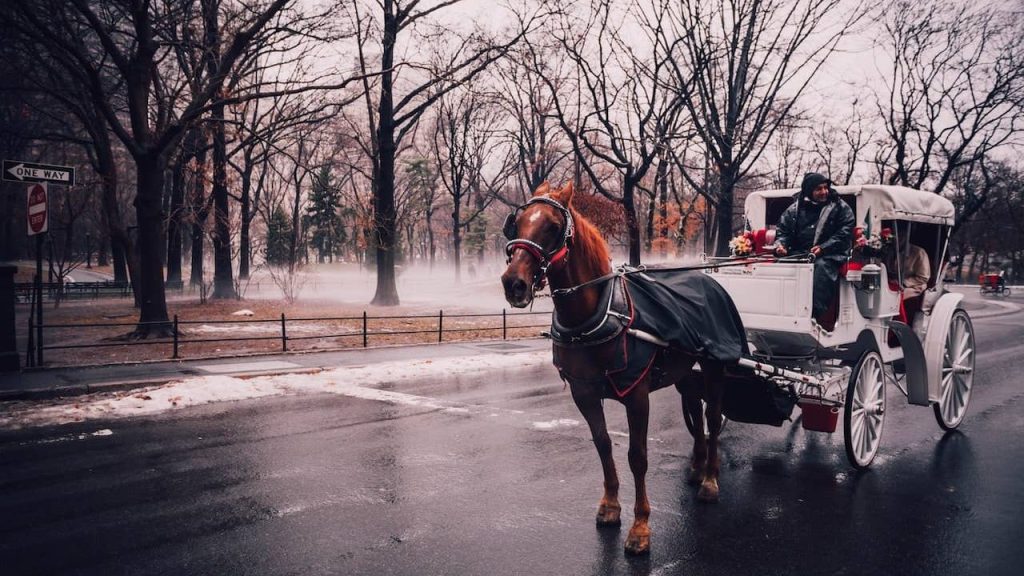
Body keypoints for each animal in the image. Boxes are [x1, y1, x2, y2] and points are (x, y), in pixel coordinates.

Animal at [499, 181, 733, 553]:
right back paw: (697, 467)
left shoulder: (637, 395)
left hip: (713, 365)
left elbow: (638, 456)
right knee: (694, 407)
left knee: (711, 416)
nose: (513, 283)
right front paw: (610, 506)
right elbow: (603, 444)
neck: (597, 315)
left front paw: (640, 527)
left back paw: (710, 479)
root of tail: (708, 281)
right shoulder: (584, 393)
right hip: (683, 370)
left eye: (553, 226)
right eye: (517, 223)